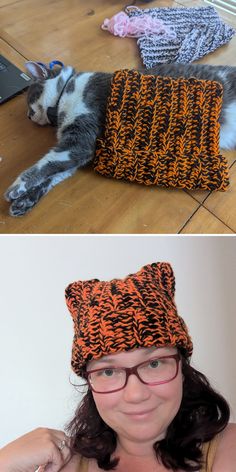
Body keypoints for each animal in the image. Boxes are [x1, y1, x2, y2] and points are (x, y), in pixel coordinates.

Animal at [4, 61, 236, 217]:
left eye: (30, 99)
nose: (28, 116)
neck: (68, 90)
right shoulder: (76, 152)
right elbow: (52, 176)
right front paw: (23, 202)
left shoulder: (80, 141)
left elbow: (44, 165)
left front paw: (15, 188)